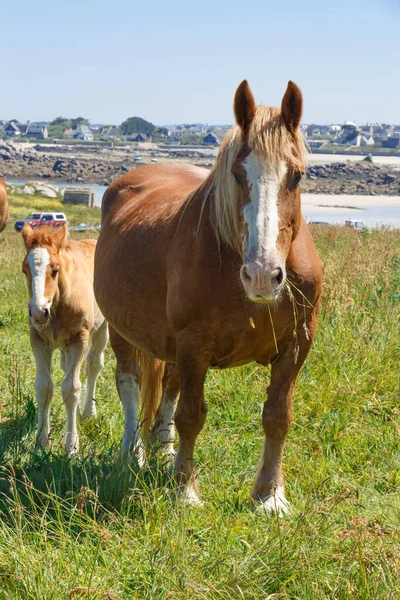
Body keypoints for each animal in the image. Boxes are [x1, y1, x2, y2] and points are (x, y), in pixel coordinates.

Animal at [21, 225, 108, 454]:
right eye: (25, 270)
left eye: (55, 269)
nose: (38, 312)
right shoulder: (39, 340)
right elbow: (44, 387)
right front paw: (41, 442)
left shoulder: (79, 338)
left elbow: (71, 389)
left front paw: (71, 446)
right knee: (66, 366)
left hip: (102, 328)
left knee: (94, 364)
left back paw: (87, 413)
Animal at [94, 78, 322, 510]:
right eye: (236, 174)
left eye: (297, 176)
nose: (262, 276)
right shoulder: (194, 344)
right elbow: (191, 416)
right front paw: (185, 490)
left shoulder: (297, 346)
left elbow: (277, 416)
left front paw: (270, 496)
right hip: (123, 331)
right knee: (130, 384)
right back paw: (133, 454)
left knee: (168, 385)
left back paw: (163, 448)